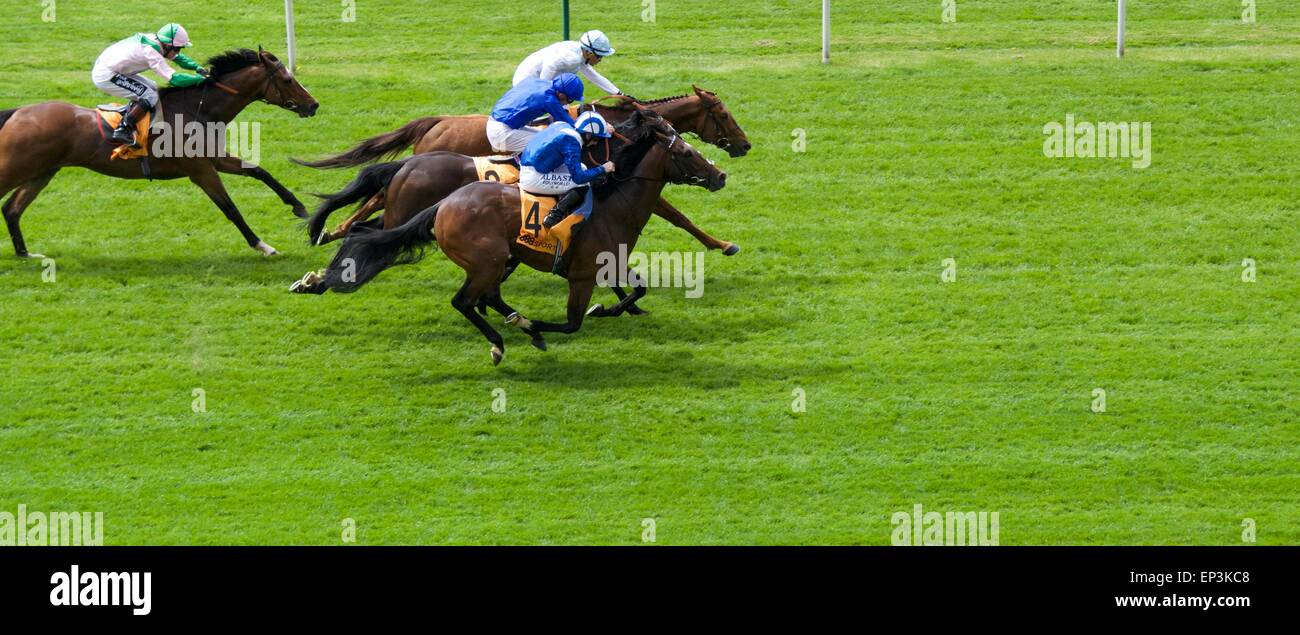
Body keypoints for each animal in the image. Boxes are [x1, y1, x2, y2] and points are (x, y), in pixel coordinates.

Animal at [0, 49, 317, 257]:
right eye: (287, 80)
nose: (313, 105)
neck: (198, 109)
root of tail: (18, 112)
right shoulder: (201, 171)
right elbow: (230, 209)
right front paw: (263, 245)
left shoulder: (214, 159)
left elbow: (260, 171)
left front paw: (298, 207)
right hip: (17, 167)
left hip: (42, 172)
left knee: (11, 209)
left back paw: (26, 254)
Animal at [288, 111, 728, 364]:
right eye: (686, 153)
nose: (720, 174)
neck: (613, 203)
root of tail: (410, 166)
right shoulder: (583, 273)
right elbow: (574, 321)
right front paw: (582, 315)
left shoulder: (610, 261)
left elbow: (636, 289)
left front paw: (622, 308)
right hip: (465, 245)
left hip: (475, 250)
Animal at [291, 87, 748, 255]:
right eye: (724, 115)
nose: (744, 145)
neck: (610, 132)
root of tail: (432, 122)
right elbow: (677, 215)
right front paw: (723, 243)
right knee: (374, 202)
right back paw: (336, 232)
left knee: (375, 201)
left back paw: (336, 232)